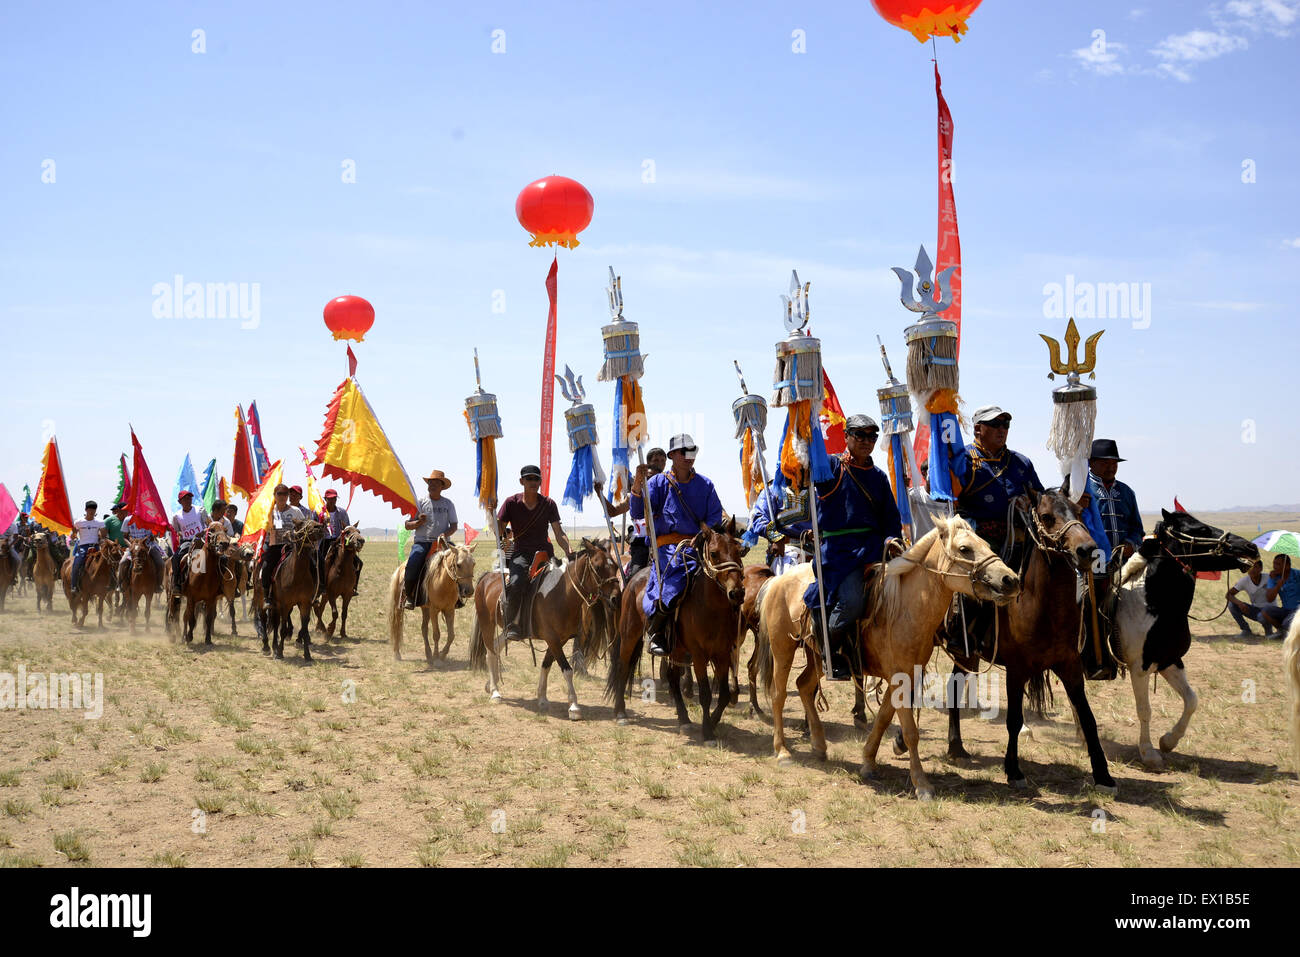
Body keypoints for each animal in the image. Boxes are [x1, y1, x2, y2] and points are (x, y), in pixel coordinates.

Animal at [473, 538, 624, 717]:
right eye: (598, 566)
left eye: (616, 566)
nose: (616, 598)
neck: (562, 593)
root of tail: (486, 577)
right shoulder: (552, 639)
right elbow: (567, 669)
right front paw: (574, 706)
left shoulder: (560, 639)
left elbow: (546, 665)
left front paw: (542, 698)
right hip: (486, 623)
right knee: (490, 652)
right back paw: (495, 691)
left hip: (508, 630)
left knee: (496, 646)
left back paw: (490, 684)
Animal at [603, 520, 748, 743]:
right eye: (714, 553)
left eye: (738, 551)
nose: (737, 592)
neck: (711, 607)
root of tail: (633, 579)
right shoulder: (699, 655)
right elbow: (705, 694)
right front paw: (707, 732)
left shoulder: (722, 654)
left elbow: (723, 694)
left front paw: (713, 723)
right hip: (629, 635)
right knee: (623, 666)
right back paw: (620, 712)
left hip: (676, 648)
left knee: (672, 678)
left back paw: (684, 720)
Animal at [759, 520, 1019, 795]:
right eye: (964, 548)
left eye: (986, 544)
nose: (1010, 580)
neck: (906, 608)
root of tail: (777, 580)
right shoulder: (900, 678)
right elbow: (910, 731)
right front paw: (921, 784)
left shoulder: (903, 677)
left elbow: (884, 719)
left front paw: (868, 762)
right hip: (782, 648)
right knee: (779, 695)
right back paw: (783, 752)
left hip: (819, 657)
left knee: (804, 686)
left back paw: (819, 746)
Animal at [1107, 509, 1258, 769]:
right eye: (1201, 529)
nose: (1251, 547)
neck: (1153, 604)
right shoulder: (1140, 668)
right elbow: (1144, 710)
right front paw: (1148, 752)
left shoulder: (1170, 661)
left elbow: (1191, 700)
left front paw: (1169, 741)